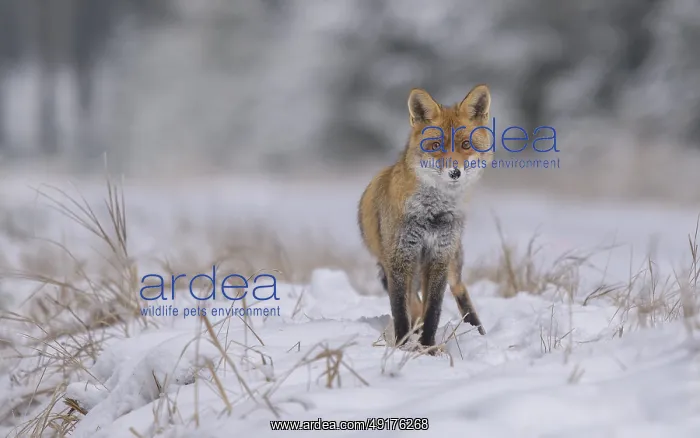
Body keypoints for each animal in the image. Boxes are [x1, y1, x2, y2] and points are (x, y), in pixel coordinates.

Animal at [357, 84, 493, 352]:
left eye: (465, 144)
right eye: (435, 145)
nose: (454, 172)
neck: (432, 215)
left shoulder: (439, 257)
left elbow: (433, 310)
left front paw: (428, 346)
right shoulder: (399, 259)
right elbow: (401, 310)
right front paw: (401, 346)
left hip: (453, 263)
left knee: (460, 291)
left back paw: (478, 332)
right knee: (413, 300)